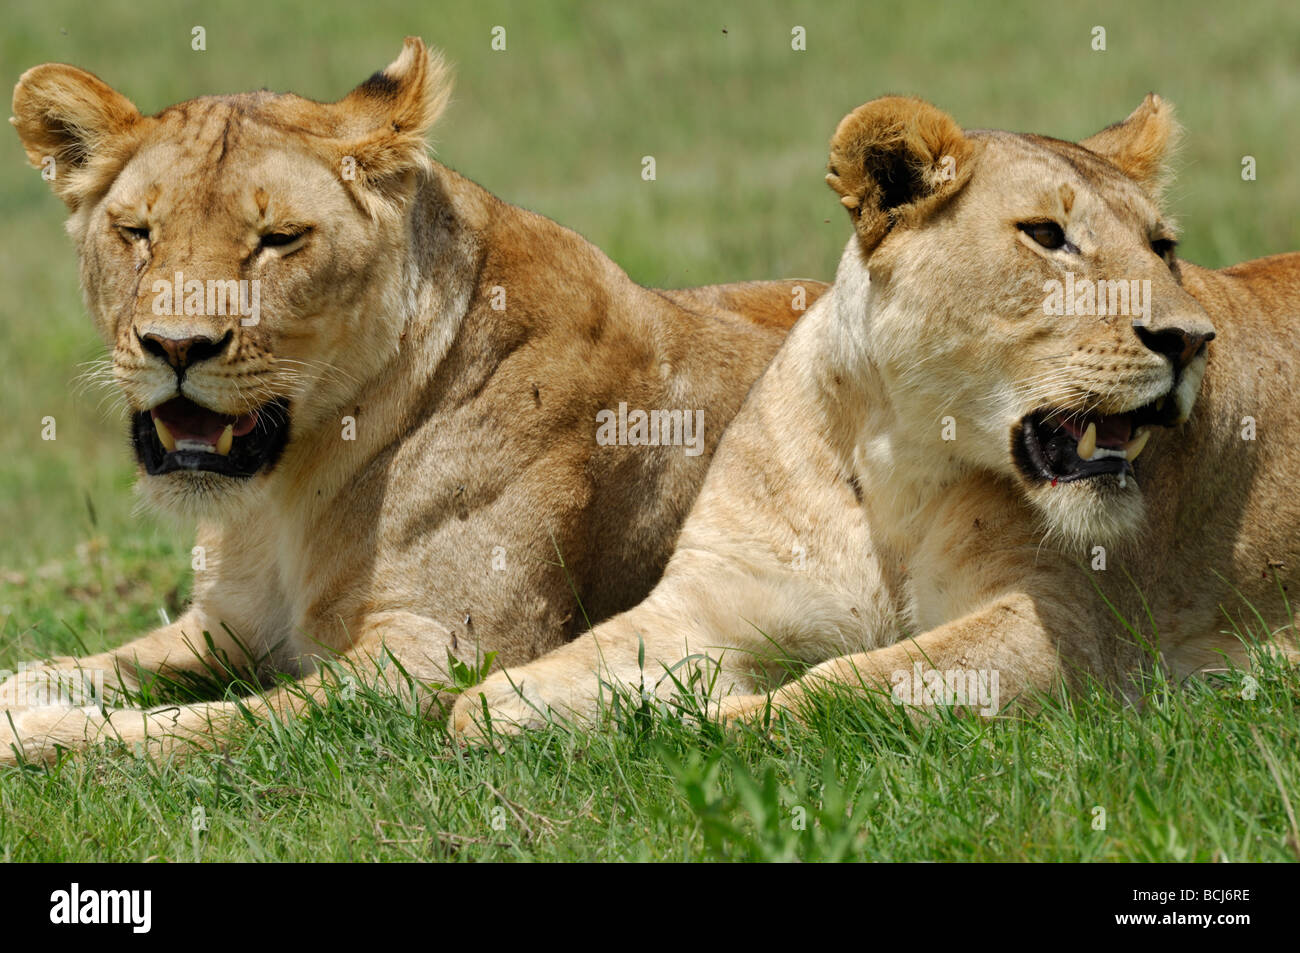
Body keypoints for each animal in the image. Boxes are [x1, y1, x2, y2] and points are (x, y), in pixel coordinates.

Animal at [0, 38, 826, 764]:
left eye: (280, 238)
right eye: (136, 231)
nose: (175, 346)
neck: (284, 493)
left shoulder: (435, 654)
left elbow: (200, 724)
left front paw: (41, 738)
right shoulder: (223, 624)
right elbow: (60, 668)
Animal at [452, 94, 1300, 737]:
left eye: (1163, 248)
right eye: (1046, 235)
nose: (1189, 340)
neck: (898, 460)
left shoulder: (1063, 628)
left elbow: (830, 689)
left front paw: (682, 721)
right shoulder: (704, 600)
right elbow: (489, 702)